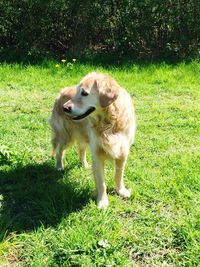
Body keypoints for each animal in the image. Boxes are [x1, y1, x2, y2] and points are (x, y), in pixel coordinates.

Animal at [63, 73, 137, 209]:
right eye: (77, 92)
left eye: (84, 93)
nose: (64, 108)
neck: (109, 122)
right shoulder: (97, 154)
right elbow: (101, 182)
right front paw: (102, 202)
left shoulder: (123, 152)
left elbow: (119, 175)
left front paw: (121, 191)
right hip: (64, 135)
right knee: (59, 152)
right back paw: (59, 167)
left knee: (81, 150)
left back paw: (84, 165)